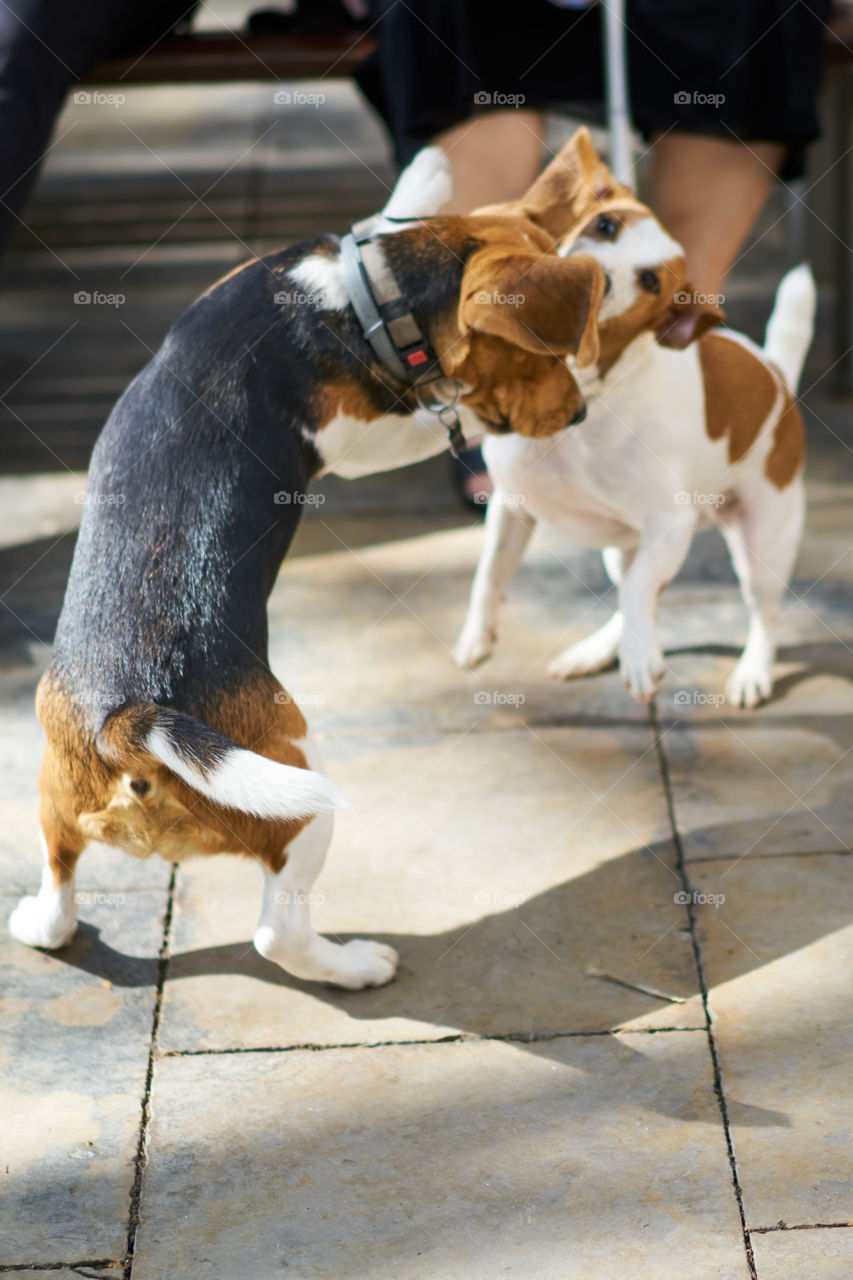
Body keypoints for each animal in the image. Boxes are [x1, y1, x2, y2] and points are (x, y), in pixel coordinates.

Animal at [448, 186, 814, 711]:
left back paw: (751, 671)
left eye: (650, 280)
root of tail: (777, 373)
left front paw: (642, 658)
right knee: (635, 593)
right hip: (622, 549)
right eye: (605, 226)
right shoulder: (511, 507)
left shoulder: (671, 523)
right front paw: (477, 636)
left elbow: (640, 588)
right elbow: (488, 575)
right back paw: (599, 651)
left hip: (762, 546)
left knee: (760, 614)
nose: (595, 274)